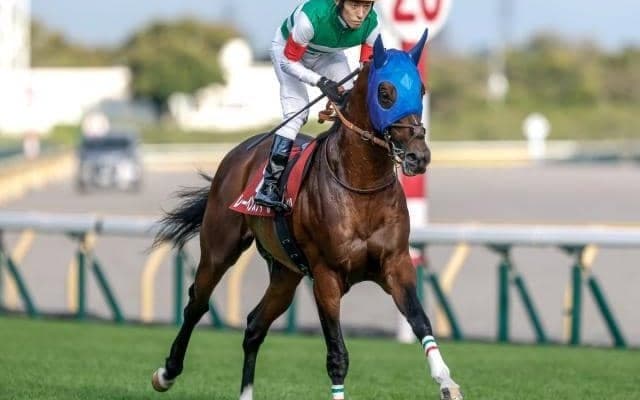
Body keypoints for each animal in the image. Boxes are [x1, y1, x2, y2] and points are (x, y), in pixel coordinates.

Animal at [151, 29, 463, 400]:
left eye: (422, 91)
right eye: (385, 93)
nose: (418, 156)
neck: (361, 187)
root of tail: (239, 152)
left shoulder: (396, 263)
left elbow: (420, 321)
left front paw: (446, 381)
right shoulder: (326, 275)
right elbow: (337, 355)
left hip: (285, 272)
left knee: (254, 325)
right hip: (219, 248)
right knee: (197, 304)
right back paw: (166, 373)